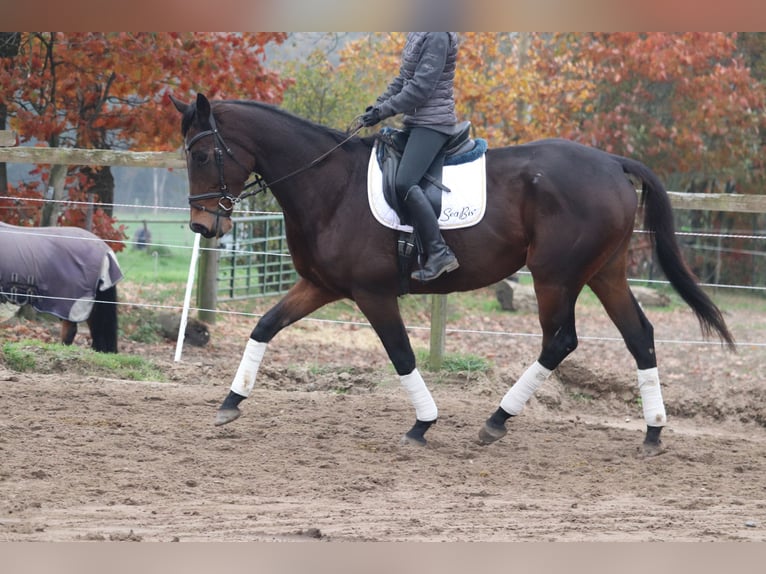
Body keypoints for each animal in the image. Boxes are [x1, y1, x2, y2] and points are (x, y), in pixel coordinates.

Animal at [171, 92, 736, 456]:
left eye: (203, 153)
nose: (203, 225)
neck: (329, 184)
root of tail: (613, 163)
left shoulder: (372, 294)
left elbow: (401, 354)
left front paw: (422, 425)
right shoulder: (321, 286)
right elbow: (264, 326)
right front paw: (230, 403)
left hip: (555, 276)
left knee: (560, 340)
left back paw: (495, 422)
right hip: (606, 273)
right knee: (639, 336)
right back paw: (653, 433)